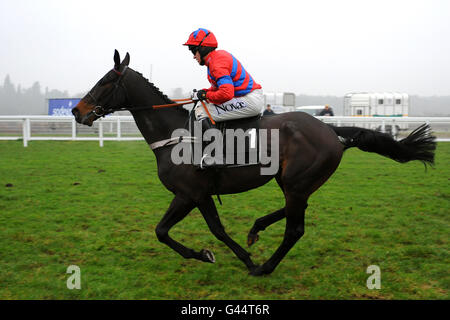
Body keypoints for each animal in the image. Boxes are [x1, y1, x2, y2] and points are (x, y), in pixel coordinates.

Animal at [71, 51, 436, 276]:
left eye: (106, 81)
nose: (76, 110)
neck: (175, 136)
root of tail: (330, 129)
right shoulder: (191, 195)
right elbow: (173, 231)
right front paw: (214, 253)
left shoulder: (192, 194)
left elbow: (200, 230)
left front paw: (231, 258)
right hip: (293, 181)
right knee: (293, 210)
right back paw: (256, 228)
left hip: (297, 182)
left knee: (295, 228)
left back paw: (265, 267)